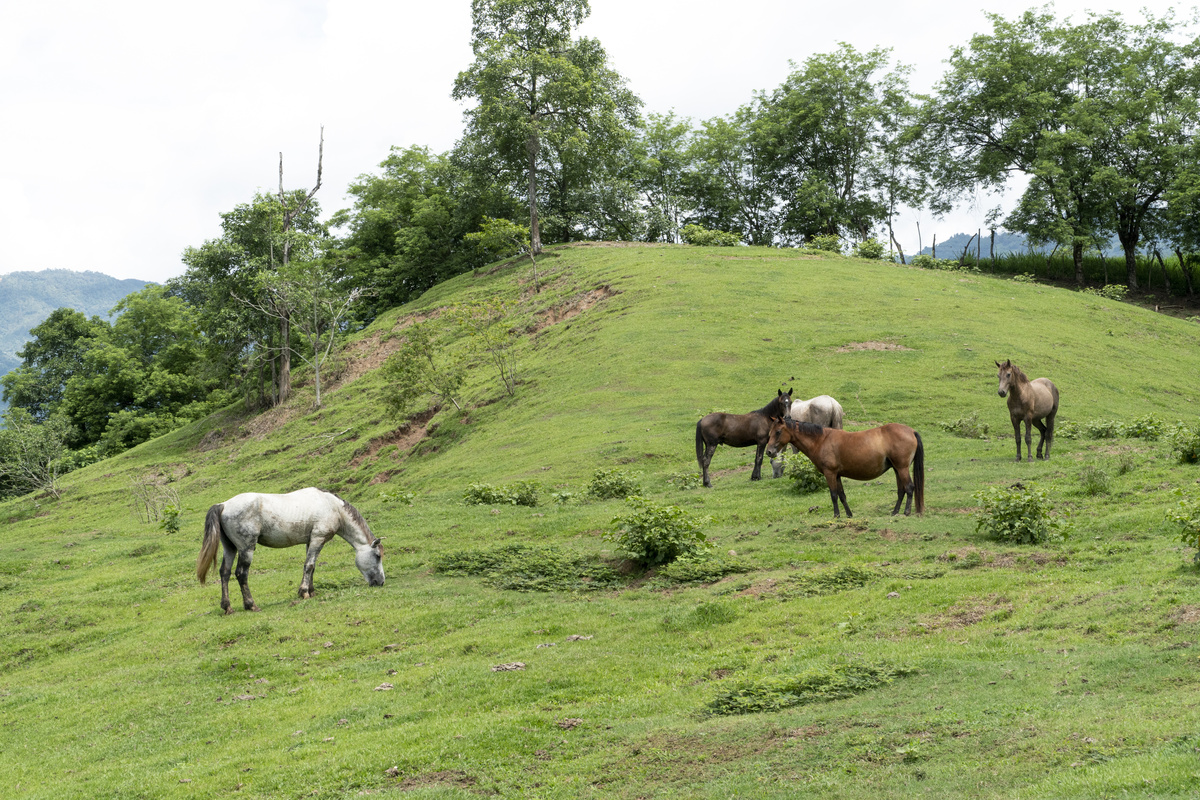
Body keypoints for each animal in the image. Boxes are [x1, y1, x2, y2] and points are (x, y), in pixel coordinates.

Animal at [196, 489, 384, 614]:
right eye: (377, 556)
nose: (381, 582)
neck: (332, 507)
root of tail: (223, 505)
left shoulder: (311, 541)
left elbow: (312, 566)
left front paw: (311, 591)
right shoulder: (318, 538)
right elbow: (309, 566)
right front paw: (304, 592)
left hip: (230, 548)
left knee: (225, 573)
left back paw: (227, 607)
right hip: (246, 549)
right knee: (241, 574)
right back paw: (251, 605)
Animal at [763, 419, 921, 520]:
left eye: (778, 432)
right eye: (770, 432)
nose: (769, 452)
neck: (821, 440)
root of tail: (911, 431)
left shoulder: (830, 473)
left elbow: (833, 495)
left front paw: (836, 515)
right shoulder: (837, 475)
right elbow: (842, 495)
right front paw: (849, 514)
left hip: (902, 468)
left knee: (909, 487)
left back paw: (906, 512)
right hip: (897, 469)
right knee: (901, 491)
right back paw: (895, 512)